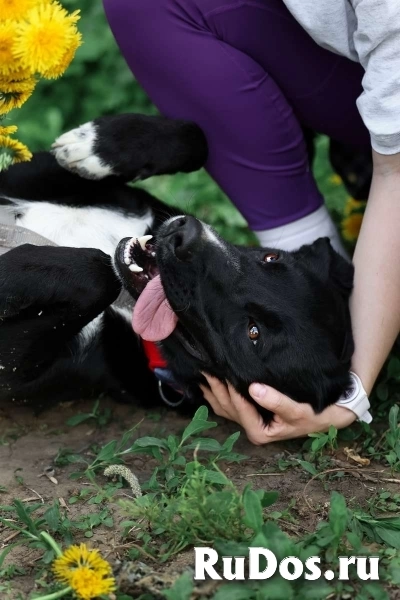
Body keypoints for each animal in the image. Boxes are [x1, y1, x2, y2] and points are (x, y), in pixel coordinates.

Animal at [0, 115, 354, 420]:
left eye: (254, 333)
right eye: (270, 258)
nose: (185, 236)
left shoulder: (14, 375)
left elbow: (98, 272)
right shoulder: (33, 173)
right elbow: (196, 139)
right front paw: (94, 148)